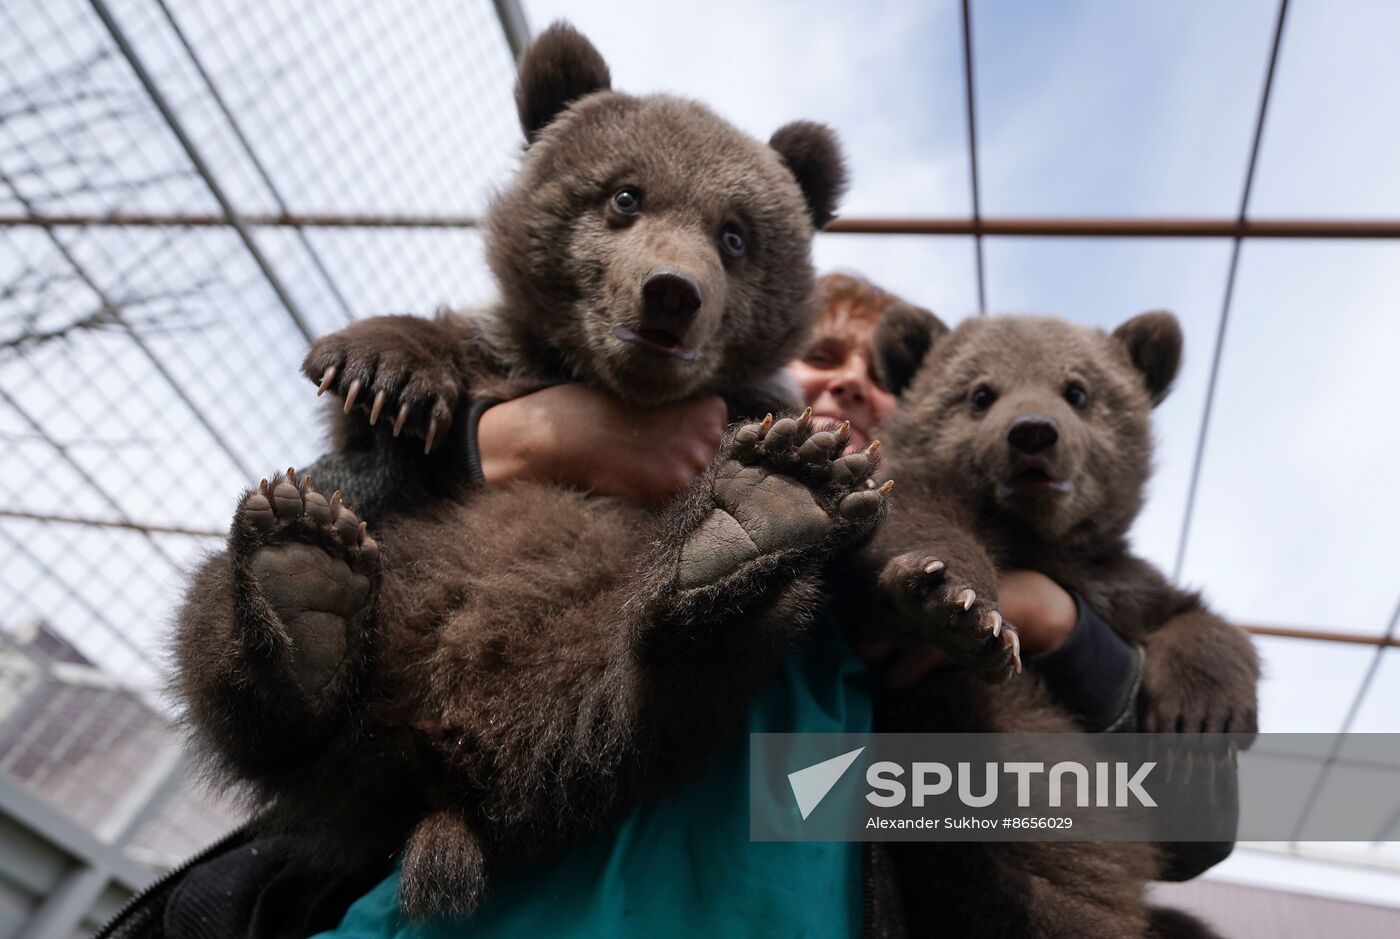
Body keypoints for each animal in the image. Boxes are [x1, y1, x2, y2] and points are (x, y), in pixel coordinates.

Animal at [171, 22, 890, 920]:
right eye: (624, 196)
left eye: (735, 234)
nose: (672, 293)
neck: (616, 391)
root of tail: (438, 781)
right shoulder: (501, 366)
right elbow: (391, 415)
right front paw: (380, 366)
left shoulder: (753, 399)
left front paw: (823, 473)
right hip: (368, 610)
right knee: (223, 635)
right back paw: (302, 588)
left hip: (616, 649)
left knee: (674, 685)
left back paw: (749, 522)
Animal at [831, 307, 1260, 938]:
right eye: (980, 393)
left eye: (1077, 390)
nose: (1032, 431)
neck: (1034, 539)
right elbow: (912, 521)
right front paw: (953, 605)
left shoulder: (1117, 583)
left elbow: (1189, 616)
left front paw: (1203, 716)